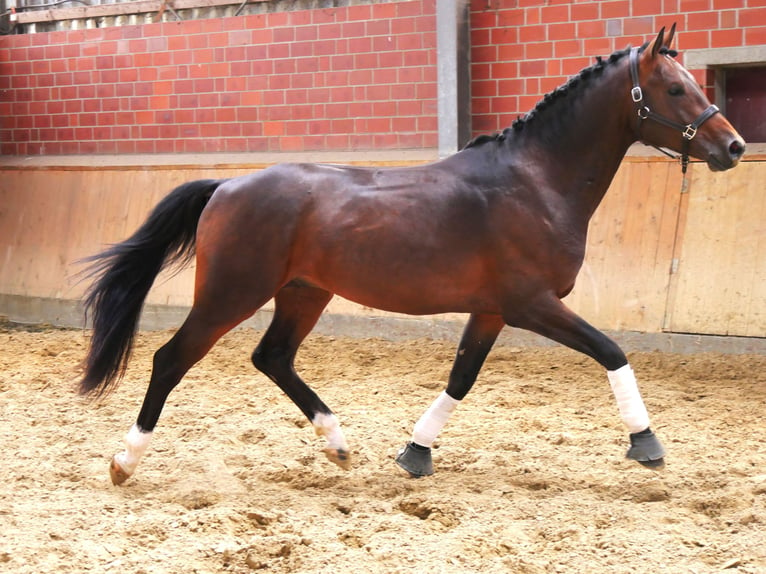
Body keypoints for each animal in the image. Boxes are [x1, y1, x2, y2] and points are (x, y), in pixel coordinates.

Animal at [78, 25, 744, 486]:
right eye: (675, 88)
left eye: (693, 85)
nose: (734, 147)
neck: (534, 181)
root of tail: (226, 187)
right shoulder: (532, 304)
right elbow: (611, 350)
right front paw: (646, 443)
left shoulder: (493, 310)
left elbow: (461, 378)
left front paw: (415, 453)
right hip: (231, 293)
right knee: (171, 359)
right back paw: (123, 462)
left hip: (304, 293)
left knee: (272, 358)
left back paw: (338, 444)